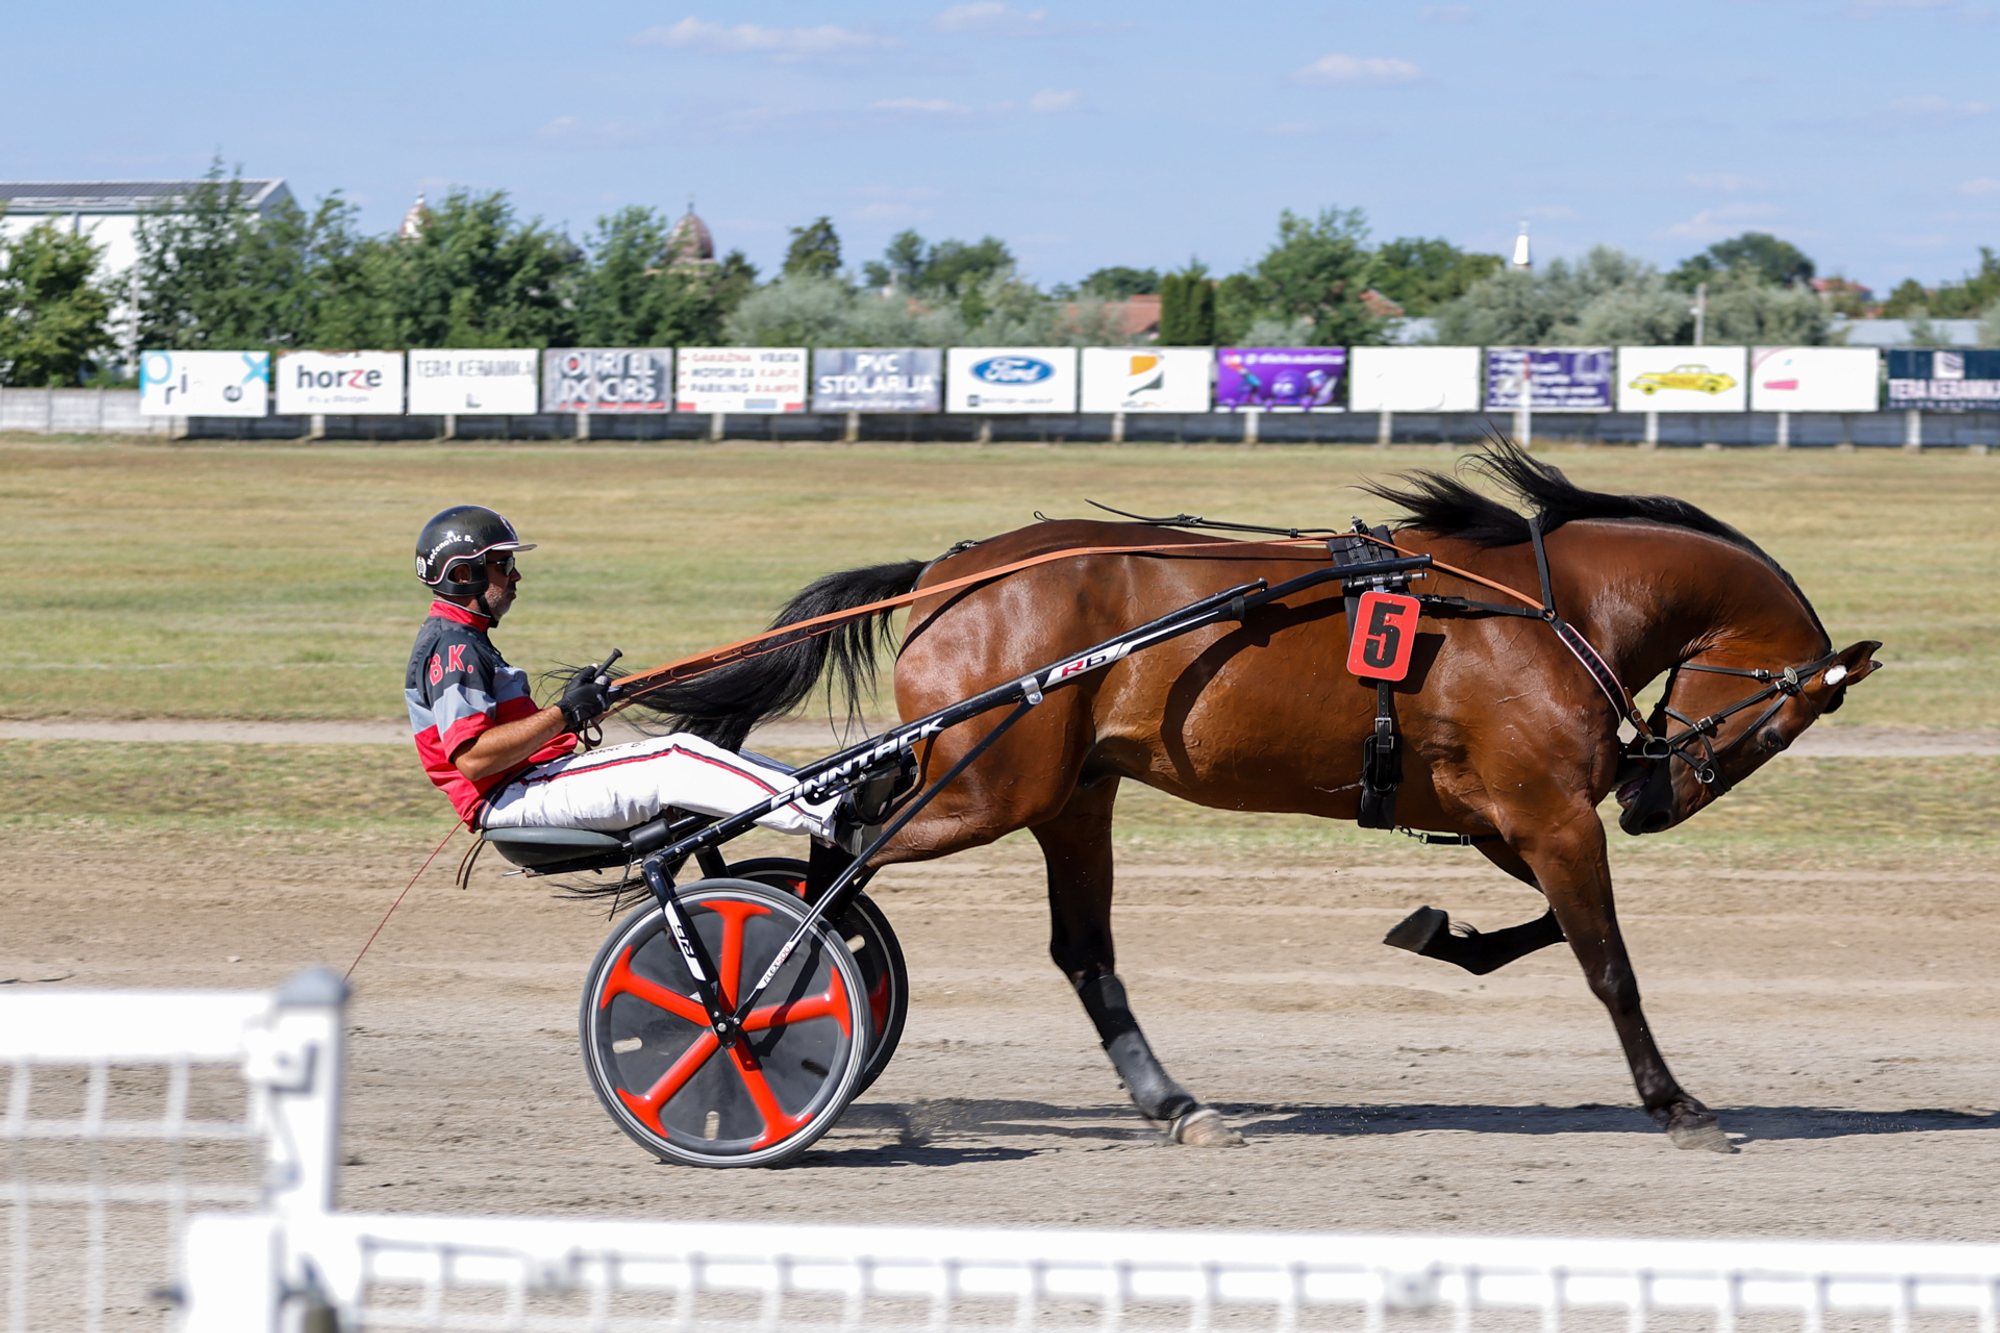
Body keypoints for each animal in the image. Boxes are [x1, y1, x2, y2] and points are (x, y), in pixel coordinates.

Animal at [628, 441, 1881, 1153]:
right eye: (1780, 720)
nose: (1650, 799)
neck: (1543, 606)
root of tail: (950, 572)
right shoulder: (1549, 810)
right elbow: (1606, 963)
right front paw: (1675, 1104)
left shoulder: (1504, 812)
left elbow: (1525, 933)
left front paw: (1439, 932)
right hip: (988, 781)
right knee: (842, 836)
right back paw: (751, 1007)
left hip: (1063, 792)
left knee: (1074, 947)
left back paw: (1172, 1102)